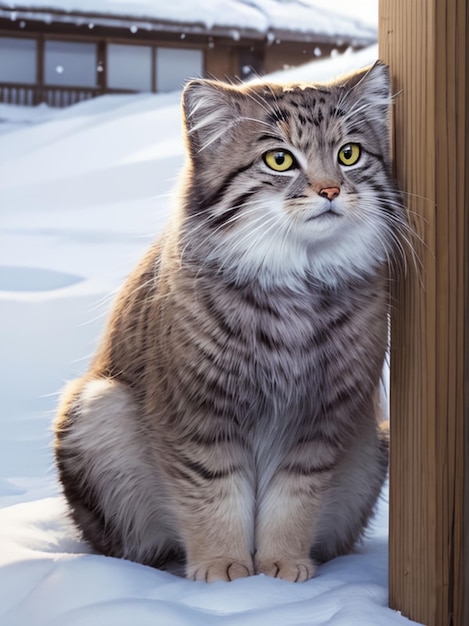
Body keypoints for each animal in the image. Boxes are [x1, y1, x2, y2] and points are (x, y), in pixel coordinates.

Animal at [54, 61, 406, 584]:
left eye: (349, 153)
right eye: (279, 160)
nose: (331, 190)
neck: (295, 287)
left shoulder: (320, 420)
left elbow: (292, 503)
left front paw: (281, 566)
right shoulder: (199, 416)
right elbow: (213, 497)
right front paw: (224, 569)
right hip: (99, 408)